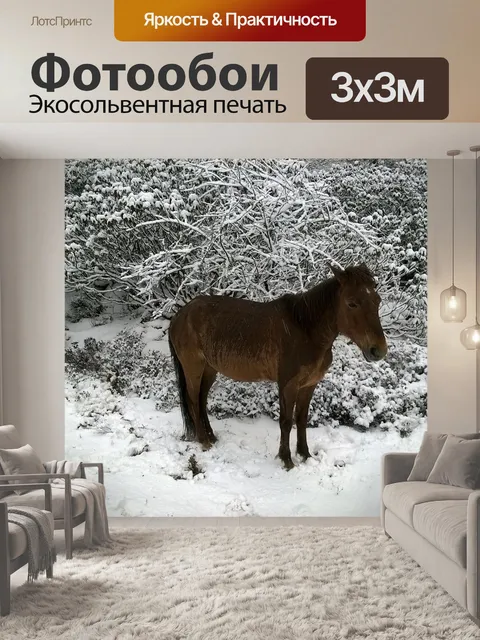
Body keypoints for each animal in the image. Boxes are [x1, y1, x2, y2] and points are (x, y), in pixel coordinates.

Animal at [168, 263, 388, 470]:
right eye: (352, 303)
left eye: (377, 300)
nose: (378, 350)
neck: (305, 329)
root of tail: (180, 315)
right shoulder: (288, 385)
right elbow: (286, 422)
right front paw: (287, 460)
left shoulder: (309, 385)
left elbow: (301, 419)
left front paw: (305, 454)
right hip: (194, 368)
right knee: (193, 400)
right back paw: (204, 441)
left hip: (210, 369)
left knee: (202, 399)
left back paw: (211, 436)